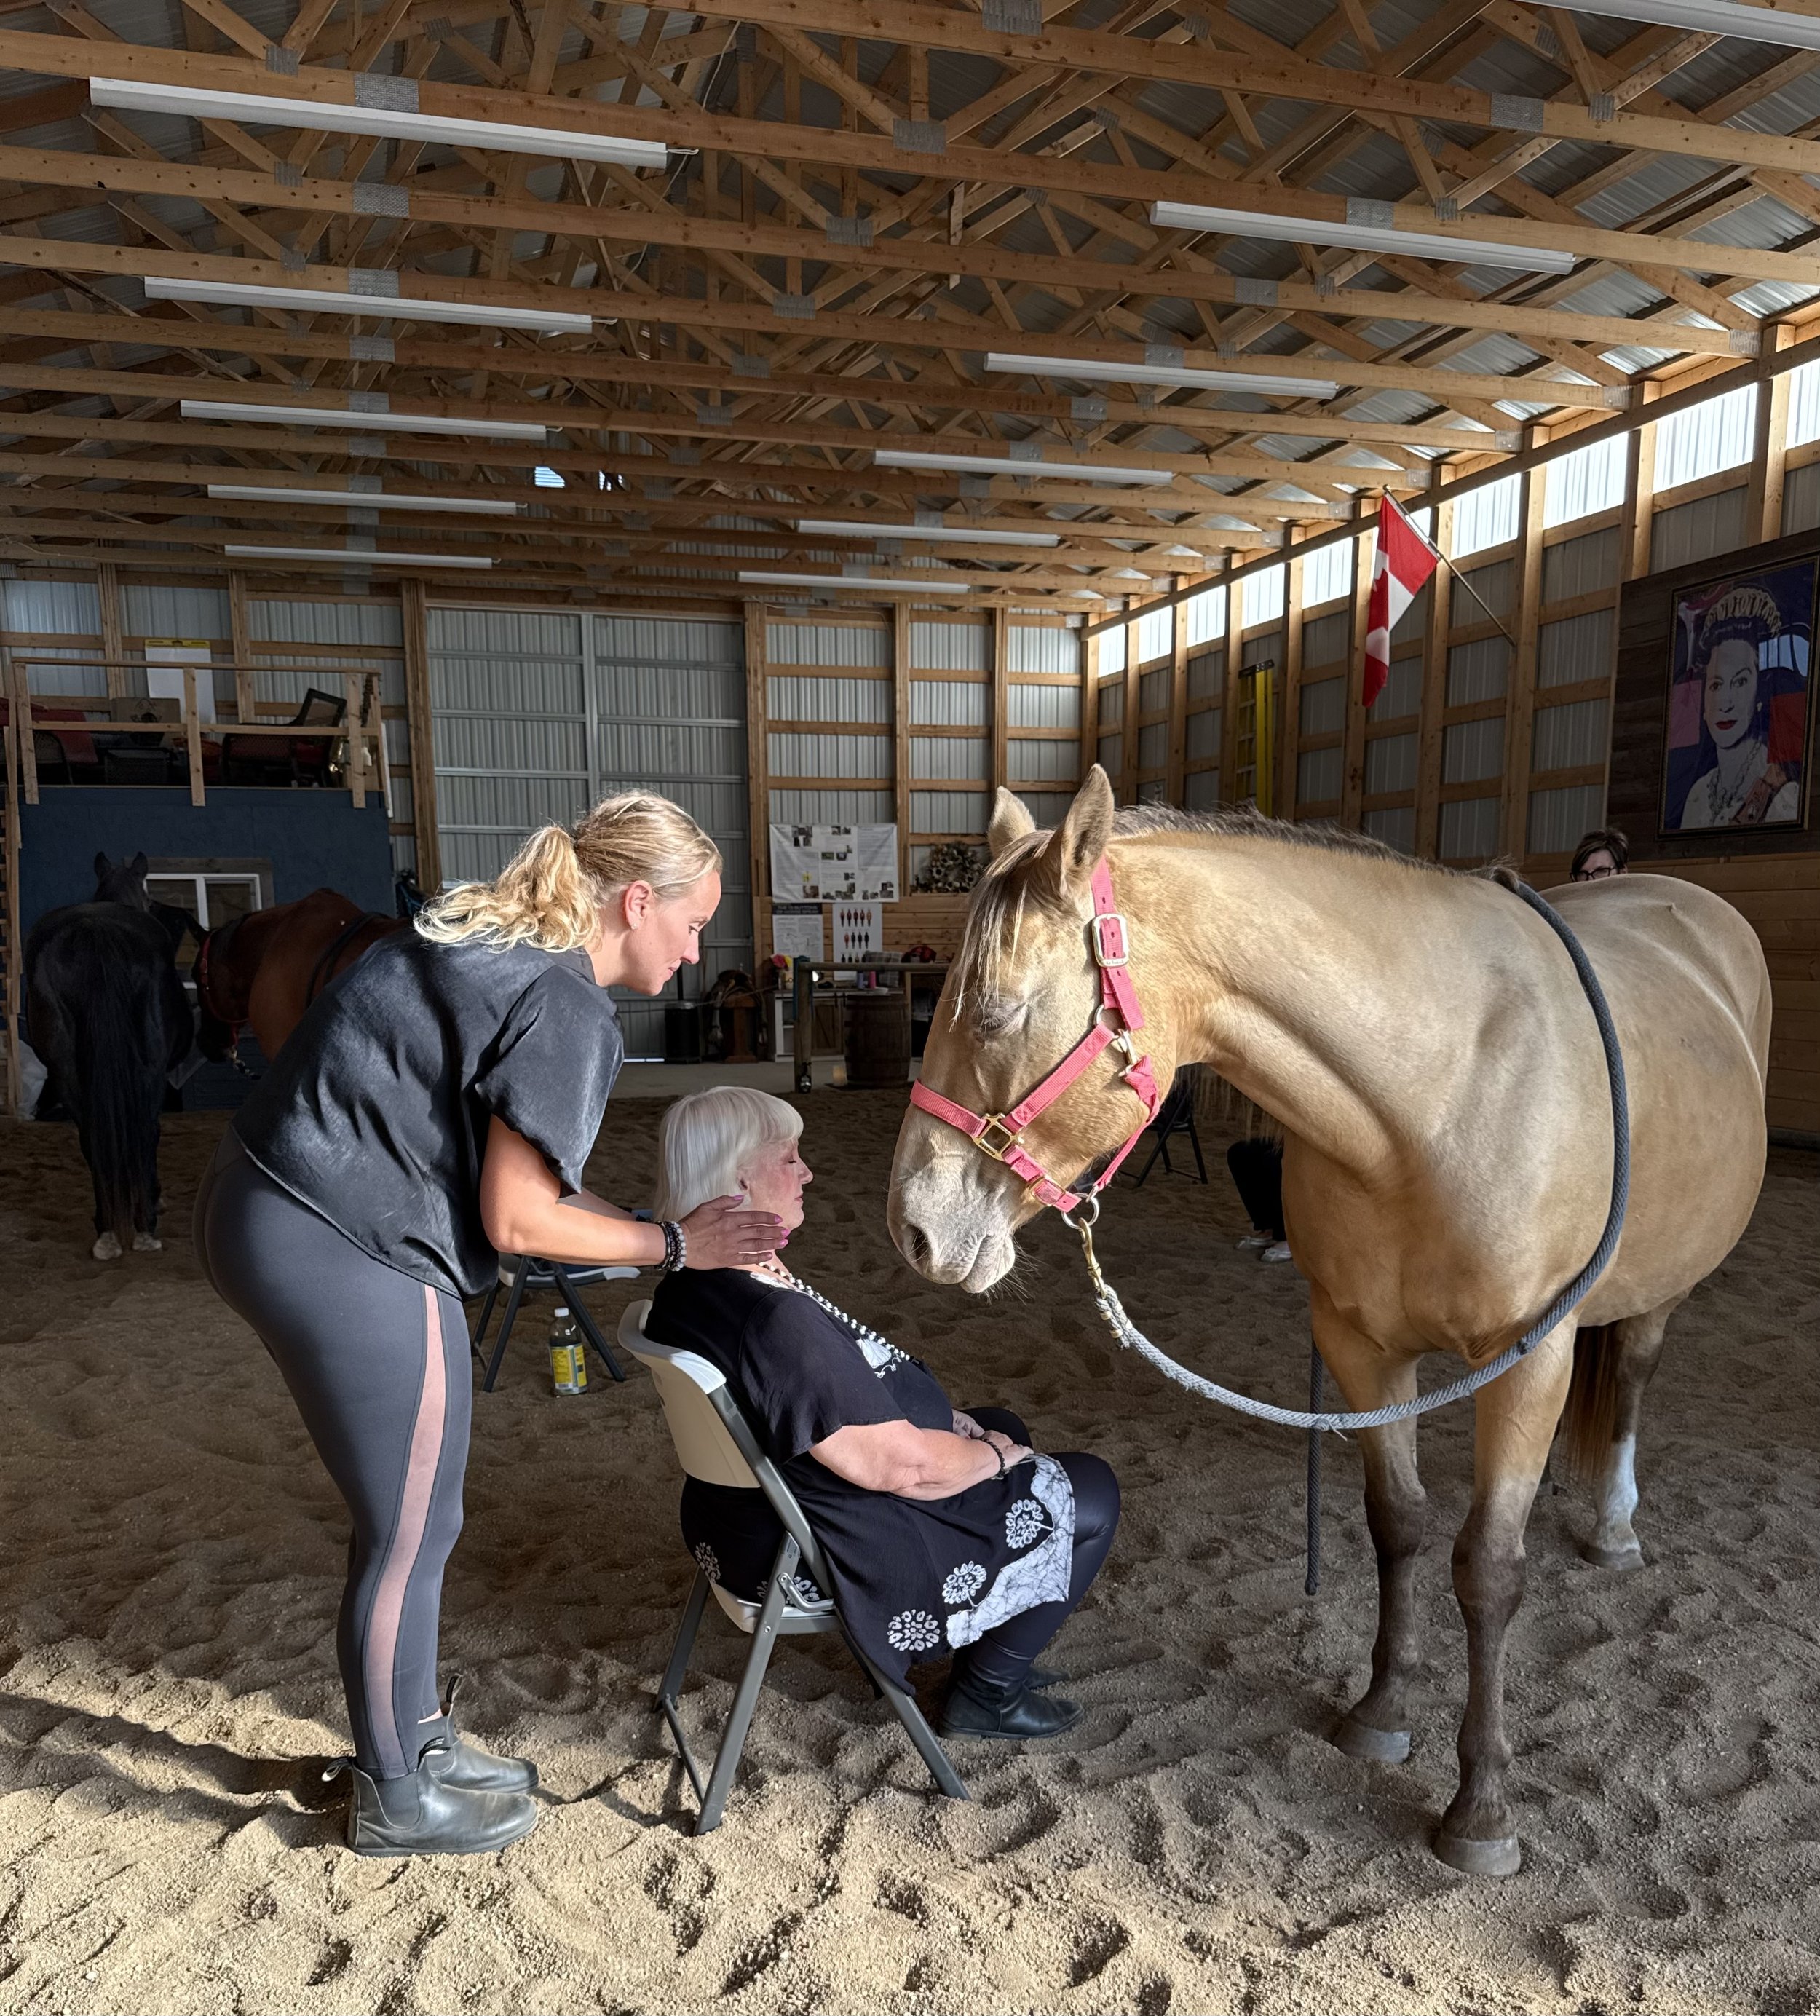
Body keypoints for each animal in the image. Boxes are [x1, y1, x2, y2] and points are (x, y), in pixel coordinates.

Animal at [26, 852, 196, 1262]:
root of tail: (94, 930)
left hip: (66, 1072)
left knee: (90, 1138)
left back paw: (107, 1230)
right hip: (149, 1070)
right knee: (146, 1131)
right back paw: (145, 1224)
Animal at [887, 768, 1770, 1877]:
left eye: (997, 1014)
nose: (914, 1228)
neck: (1436, 1091)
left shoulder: (1529, 1362)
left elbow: (1488, 1569)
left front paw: (1481, 1807)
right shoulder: (1361, 1349)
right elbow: (1397, 1525)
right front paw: (1381, 1713)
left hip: (1658, 1293)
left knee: (1637, 1377)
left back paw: (1613, 1523)